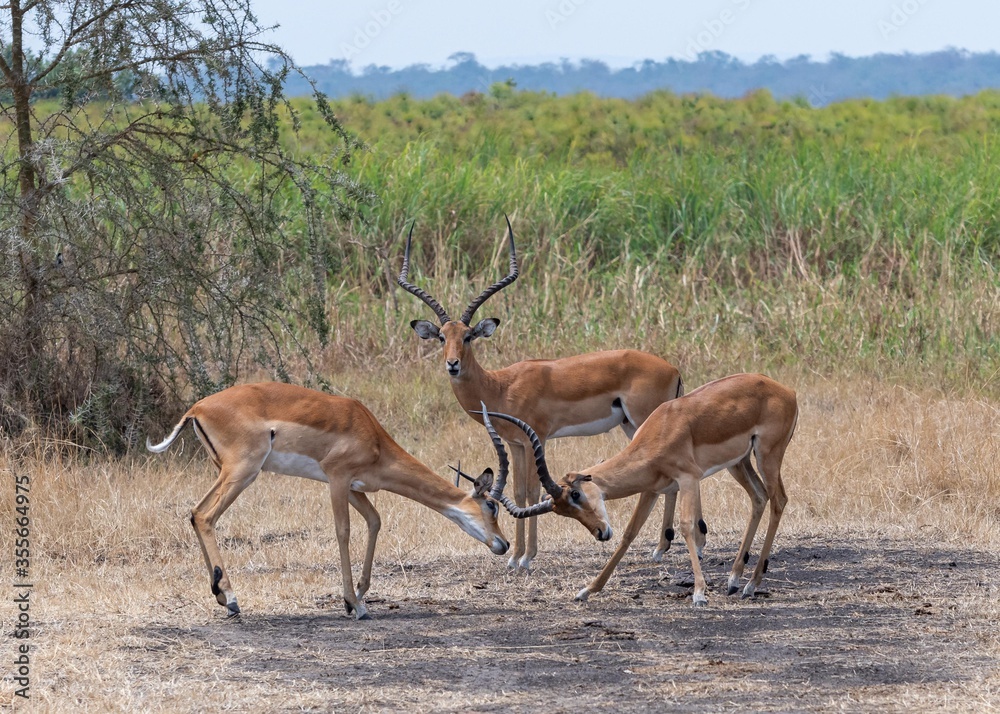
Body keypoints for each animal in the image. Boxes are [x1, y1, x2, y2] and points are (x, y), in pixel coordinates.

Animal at [146, 382, 509, 620]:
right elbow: (343, 531)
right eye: (491, 505)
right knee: (205, 515)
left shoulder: (355, 487)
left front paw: (358, 599)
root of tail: (197, 409)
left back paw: (221, 596)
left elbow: (375, 521)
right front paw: (353, 604)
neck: (373, 436)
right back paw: (234, 601)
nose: (503, 544)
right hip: (243, 471)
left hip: (225, 471)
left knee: (194, 513)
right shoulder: (337, 479)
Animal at [398, 217, 689, 570]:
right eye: (441, 336)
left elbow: (533, 493)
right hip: (630, 426)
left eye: (468, 336)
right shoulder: (515, 443)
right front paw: (515, 557)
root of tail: (673, 369)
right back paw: (663, 545)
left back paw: (660, 547)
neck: (499, 386)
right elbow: (518, 493)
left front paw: (526, 558)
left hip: (643, 420)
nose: (452, 364)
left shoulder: (535, 438)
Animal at [477, 373, 797, 605]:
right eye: (562, 512)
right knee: (759, 497)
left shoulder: (688, 479)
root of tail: (787, 392)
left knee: (779, 500)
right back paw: (734, 580)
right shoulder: (652, 487)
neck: (663, 429)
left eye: (576, 494)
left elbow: (686, 526)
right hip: (740, 462)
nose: (600, 533)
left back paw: (751, 585)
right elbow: (630, 534)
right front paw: (587, 590)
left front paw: (699, 594)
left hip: (768, 455)